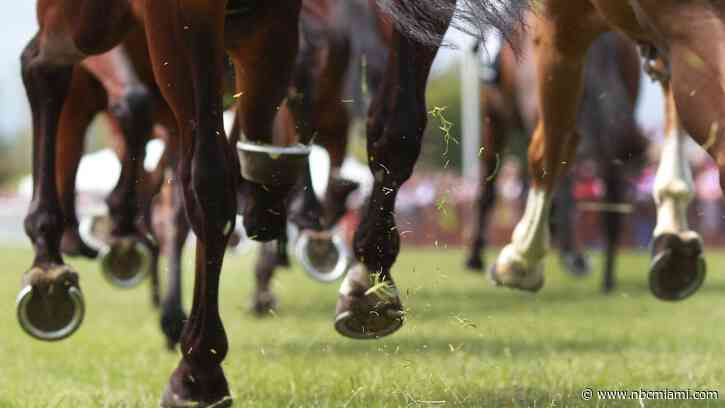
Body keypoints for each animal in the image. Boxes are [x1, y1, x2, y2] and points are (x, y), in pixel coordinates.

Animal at [466, 27, 647, 292]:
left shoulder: (494, 116)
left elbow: (489, 187)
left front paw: (475, 257)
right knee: (611, 183)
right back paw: (607, 277)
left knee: (556, 173)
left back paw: (569, 256)